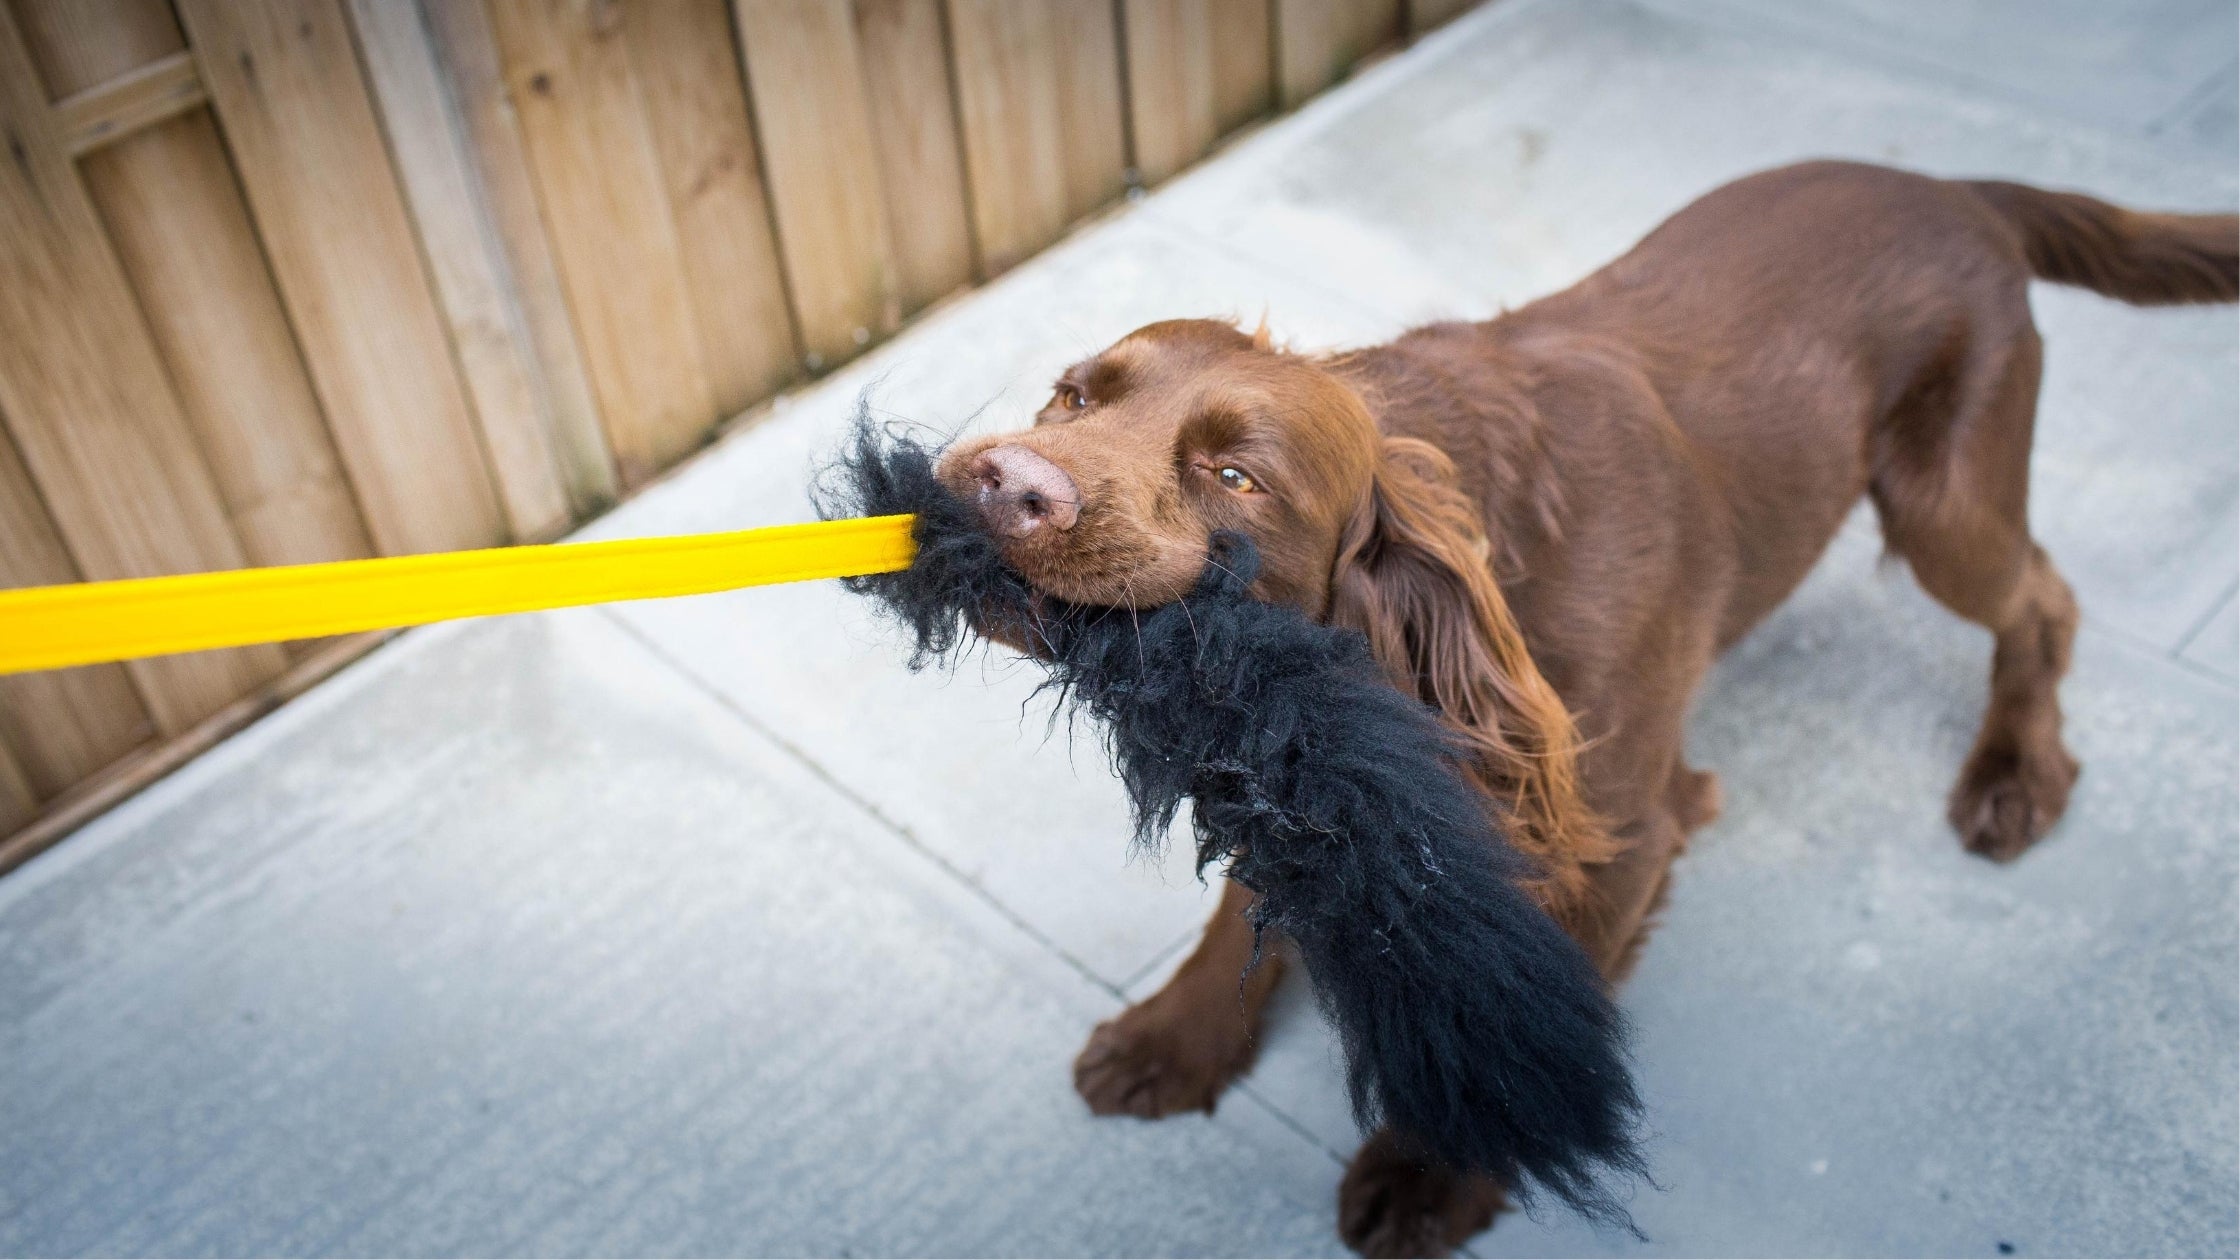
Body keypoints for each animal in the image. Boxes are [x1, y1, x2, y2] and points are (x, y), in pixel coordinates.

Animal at [931, 161, 2240, 1246]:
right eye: (1068, 398)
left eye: (1234, 476)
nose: (1000, 482)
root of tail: (1954, 188)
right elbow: (1236, 924)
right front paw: (1172, 1043)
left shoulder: (1616, 840)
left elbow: (1510, 1039)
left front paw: (1430, 1178)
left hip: (1940, 506)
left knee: (2043, 598)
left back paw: (2015, 772)